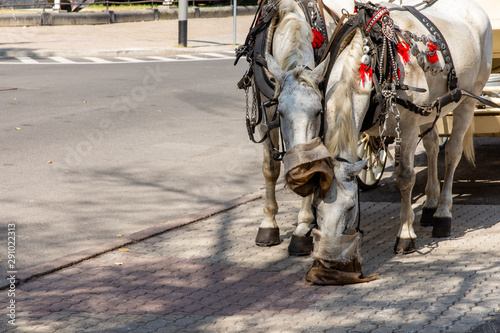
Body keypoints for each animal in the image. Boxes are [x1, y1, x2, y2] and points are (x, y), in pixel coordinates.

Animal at [264, 0, 490, 284]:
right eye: (316, 209)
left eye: (351, 208)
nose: (327, 270)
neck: (373, 59)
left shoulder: (408, 124)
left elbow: (405, 178)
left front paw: (405, 234)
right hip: (431, 111)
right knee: (431, 145)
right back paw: (429, 206)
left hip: (468, 100)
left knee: (452, 153)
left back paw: (442, 214)